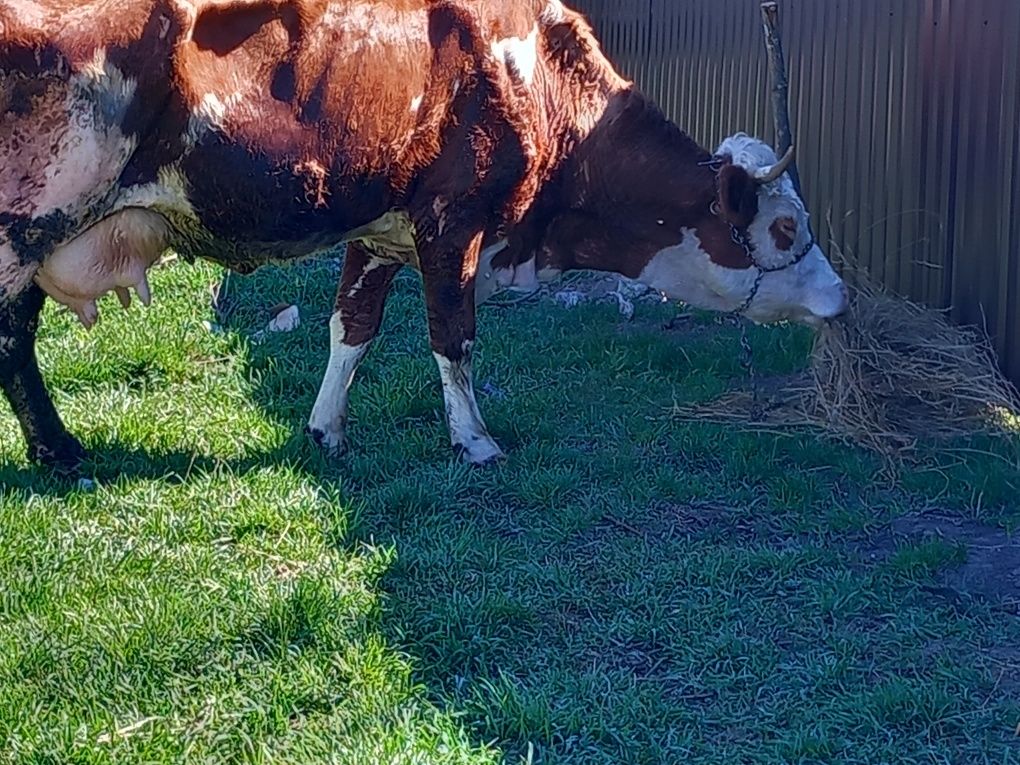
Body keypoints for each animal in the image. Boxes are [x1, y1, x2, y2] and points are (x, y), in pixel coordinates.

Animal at [0, 0, 848, 473]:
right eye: (783, 227)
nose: (839, 299)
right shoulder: (452, 223)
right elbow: (454, 337)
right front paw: (474, 442)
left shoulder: (378, 232)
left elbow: (352, 328)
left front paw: (328, 431)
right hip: (27, 226)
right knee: (12, 340)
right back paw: (60, 452)